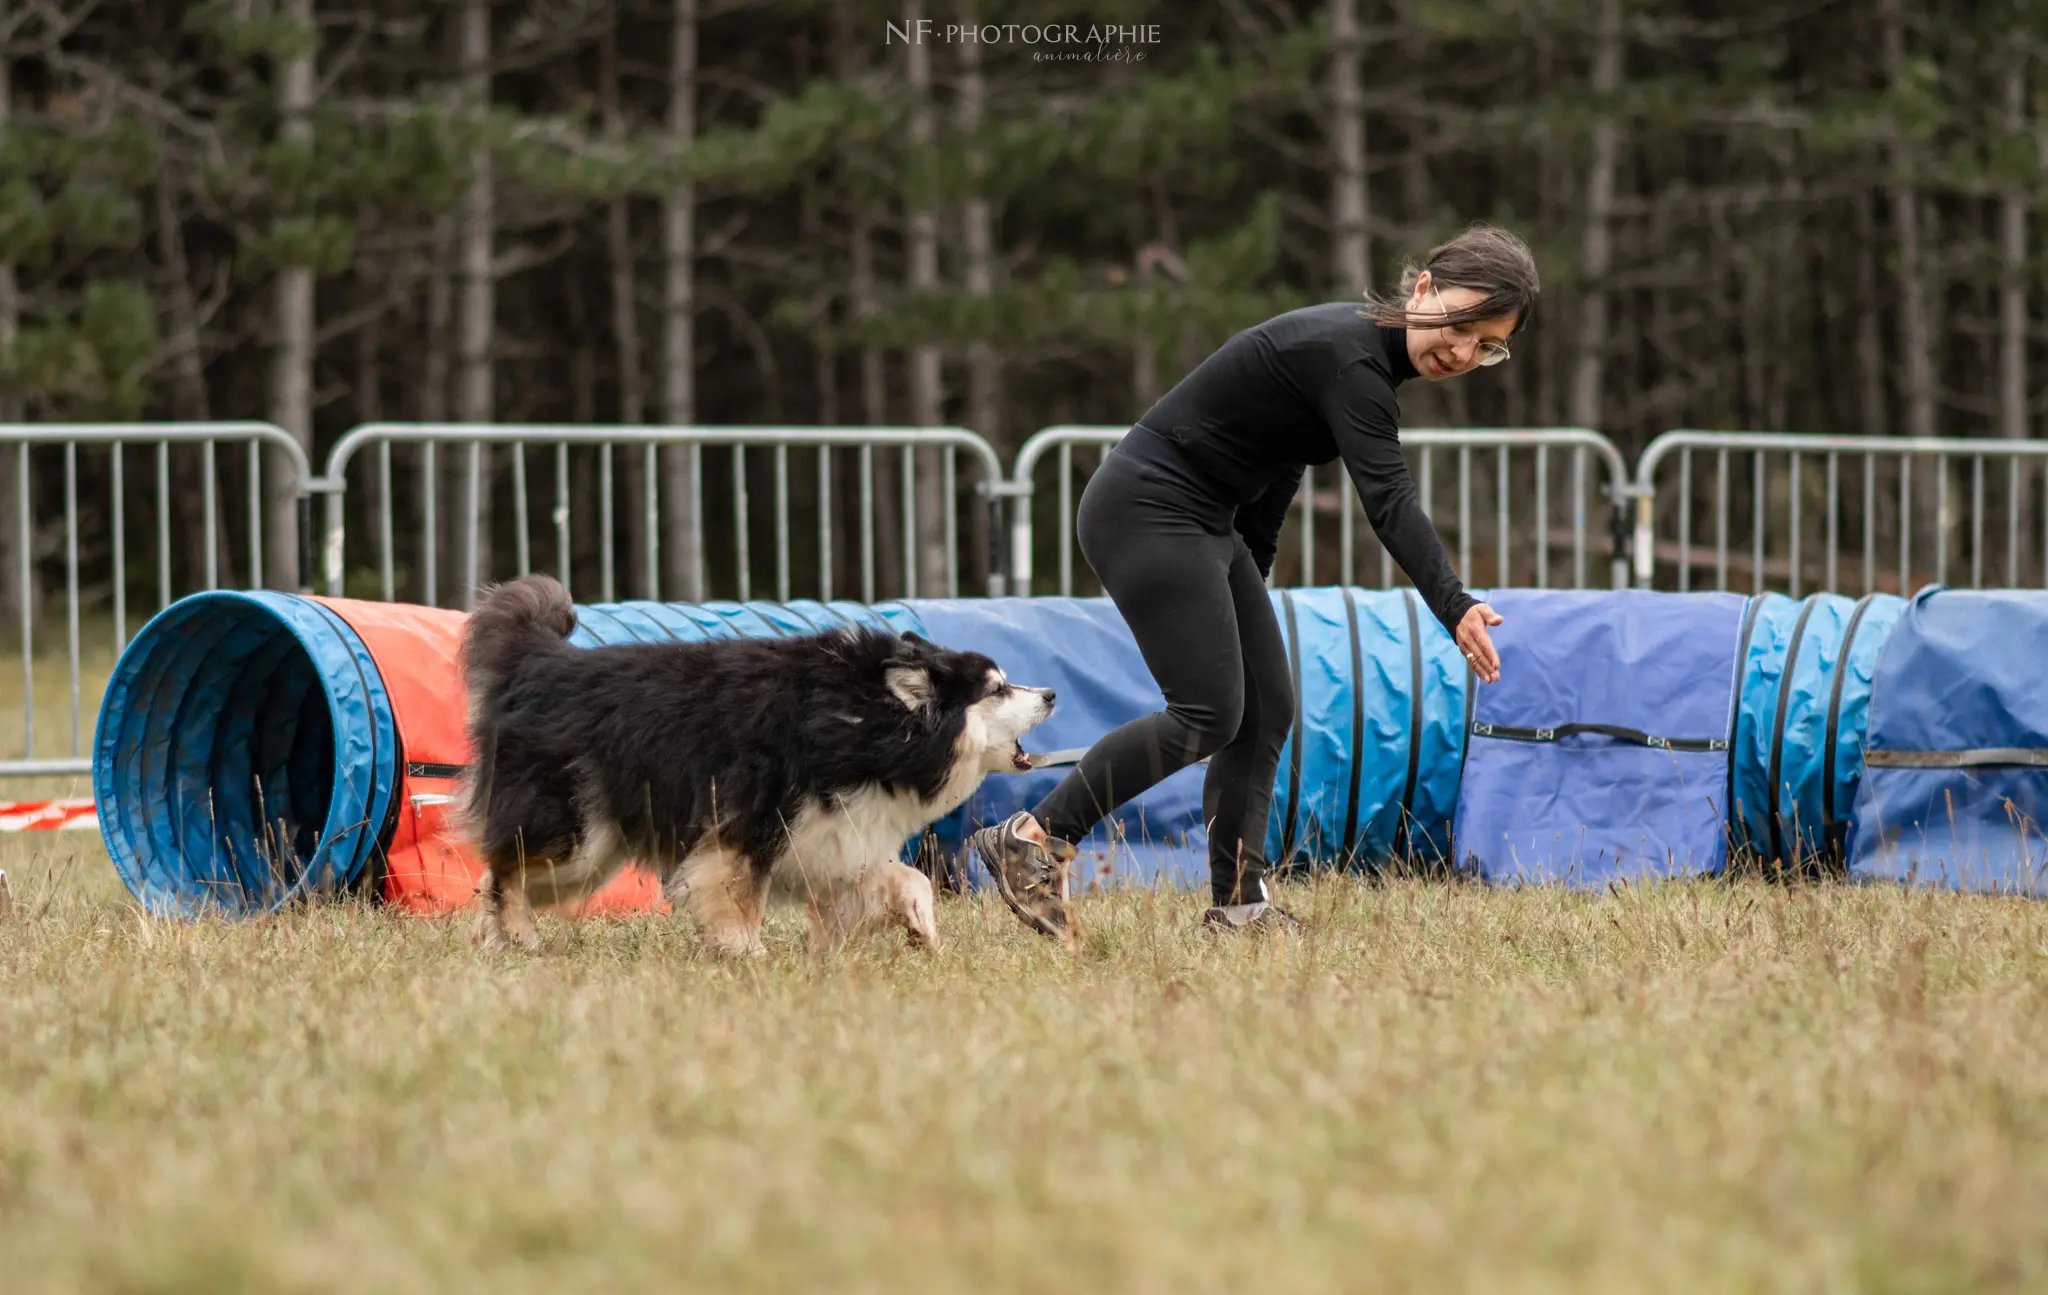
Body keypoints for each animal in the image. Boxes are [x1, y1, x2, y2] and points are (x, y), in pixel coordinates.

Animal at [452, 573, 1056, 950]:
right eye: (998, 689)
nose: (1051, 693)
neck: (865, 723)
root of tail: (539, 661)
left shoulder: (837, 835)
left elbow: (909, 880)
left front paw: (923, 932)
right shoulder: (745, 824)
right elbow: (736, 897)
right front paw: (746, 954)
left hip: (592, 851)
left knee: (497, 879)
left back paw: (494, 941)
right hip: (579, 835)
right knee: (506, 872)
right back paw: (521, 936)